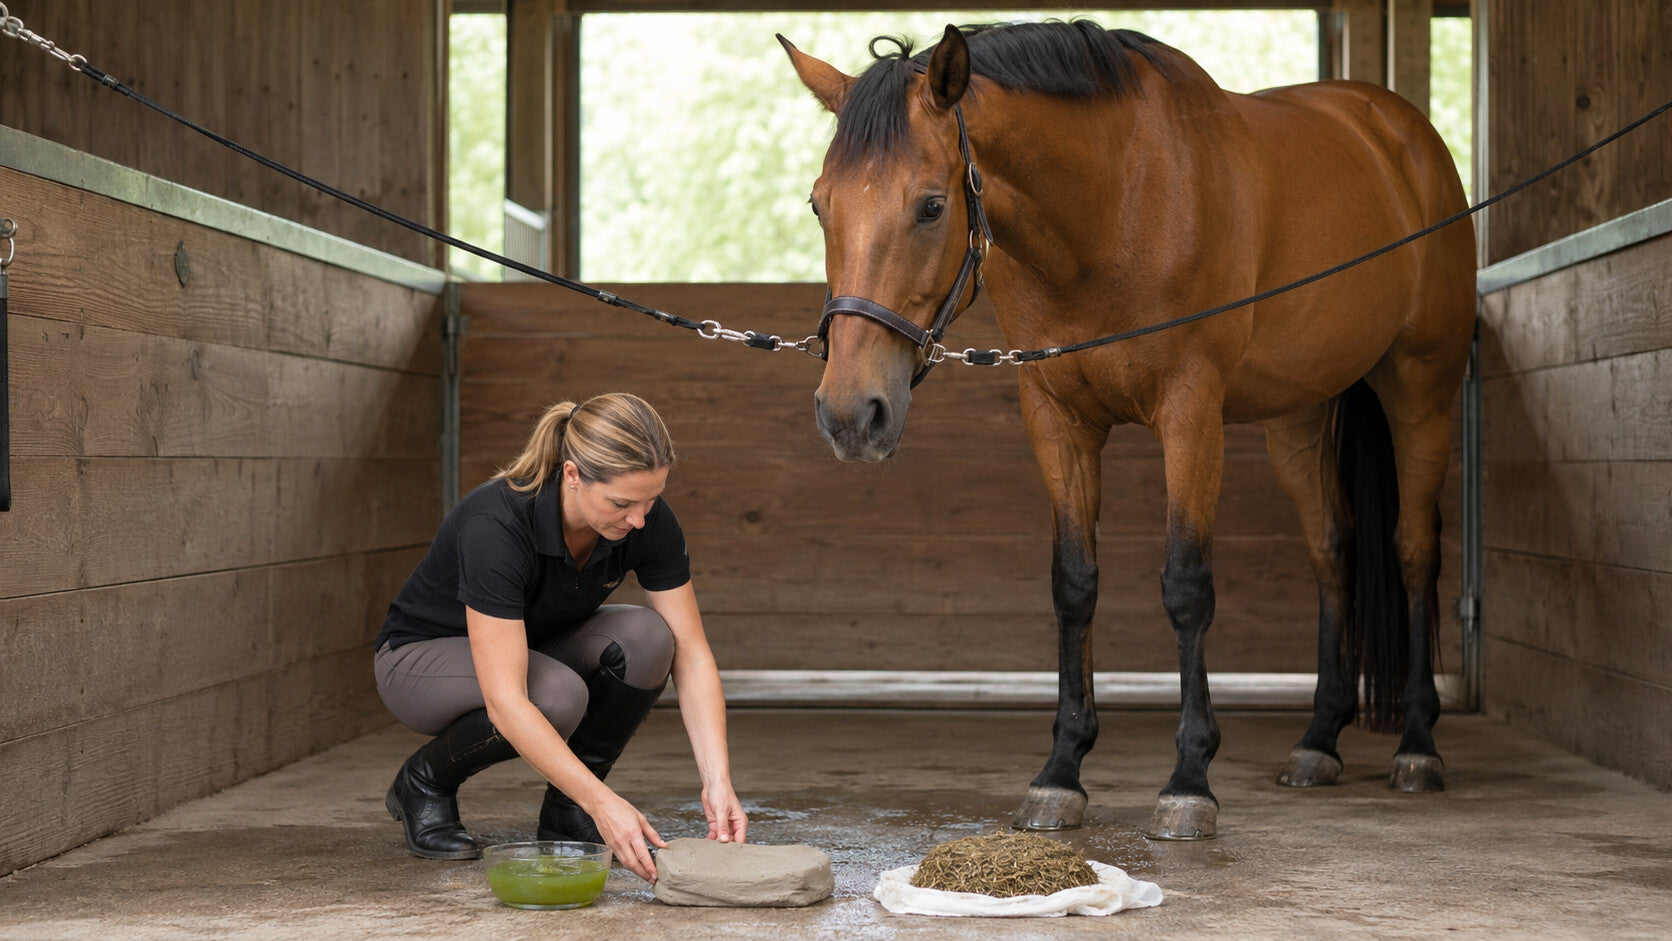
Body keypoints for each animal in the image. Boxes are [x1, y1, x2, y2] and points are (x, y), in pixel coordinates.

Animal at [779, 20, 1475, 840]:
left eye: (928, 206)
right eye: (820, 206)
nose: (851, 413)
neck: (1115, 204)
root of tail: (1400, 135)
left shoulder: (1190, 412)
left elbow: (1186, 586)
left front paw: (1190, 780)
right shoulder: (1057, 419)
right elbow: (1074, 585)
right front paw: (1061, 772)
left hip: (1419, 389)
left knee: (1413, 550)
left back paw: (1418, 744)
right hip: (1300, 415)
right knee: (1332, 552)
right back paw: (1318, 740)